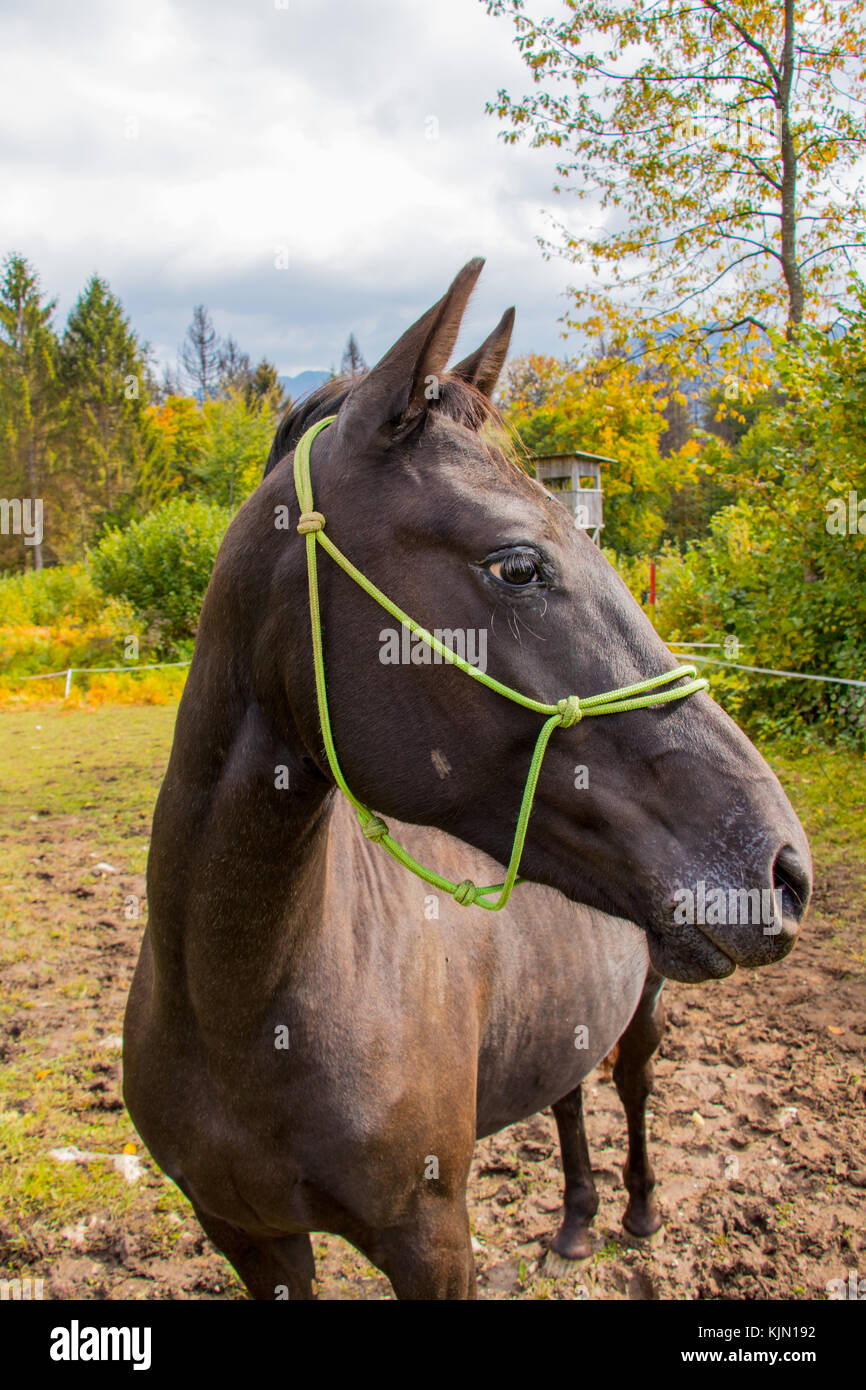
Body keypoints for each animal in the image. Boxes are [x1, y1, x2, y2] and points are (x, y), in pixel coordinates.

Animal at [123, 259, 811, 1299]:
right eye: (519, 565)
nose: (783, 866)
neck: (236, 1013)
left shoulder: (431, 1238)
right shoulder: (248, 1236)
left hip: (647, 1005)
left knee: (633, 1083)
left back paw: (638, 1211)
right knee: (569, 1096)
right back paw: (576, 1221)